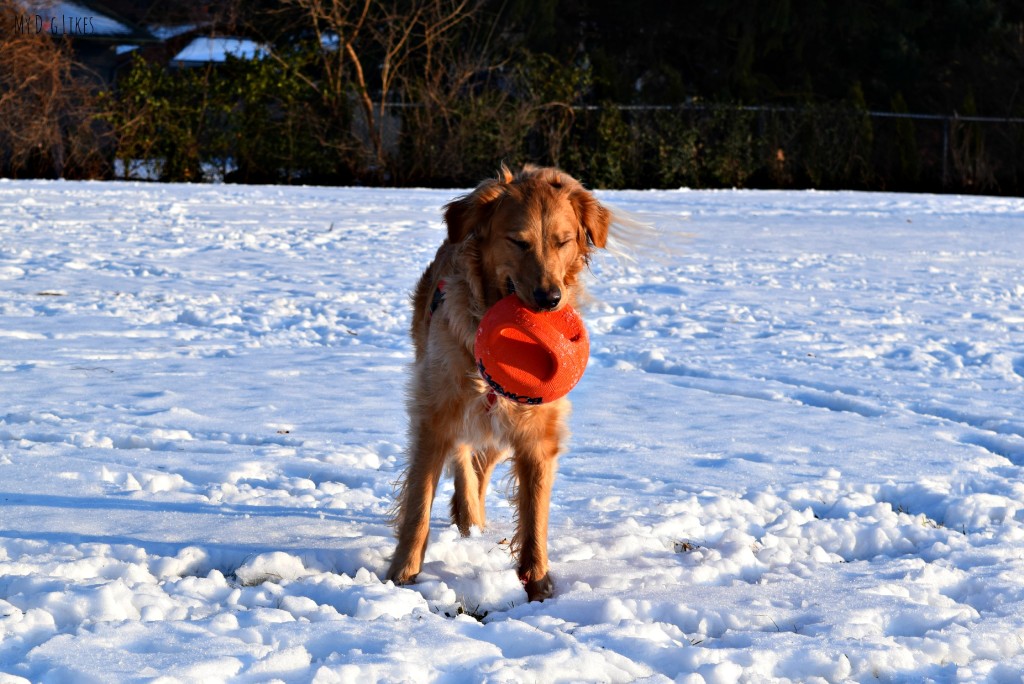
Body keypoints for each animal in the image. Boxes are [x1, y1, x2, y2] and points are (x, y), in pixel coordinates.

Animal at [385, 162, 606, 602]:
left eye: (563, 242)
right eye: (518, 242)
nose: (549, 299)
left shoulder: (537, 431)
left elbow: (535, 513)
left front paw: (538, 585)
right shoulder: (434, 414)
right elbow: (419, 502)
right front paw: (402, 575)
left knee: (481, 463)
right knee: (464, 459)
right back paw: (468, 513)